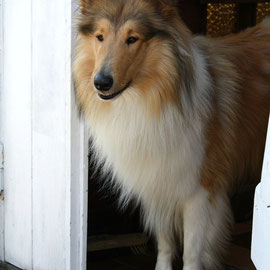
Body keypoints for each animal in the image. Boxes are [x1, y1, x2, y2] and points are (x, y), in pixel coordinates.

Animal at [73, 1, 270, 268]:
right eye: (99, 37)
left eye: (132, 39)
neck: (148, 99)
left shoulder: (198, 193)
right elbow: (165, 242)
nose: (101, 83)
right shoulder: (157, 182)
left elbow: (191, 253)